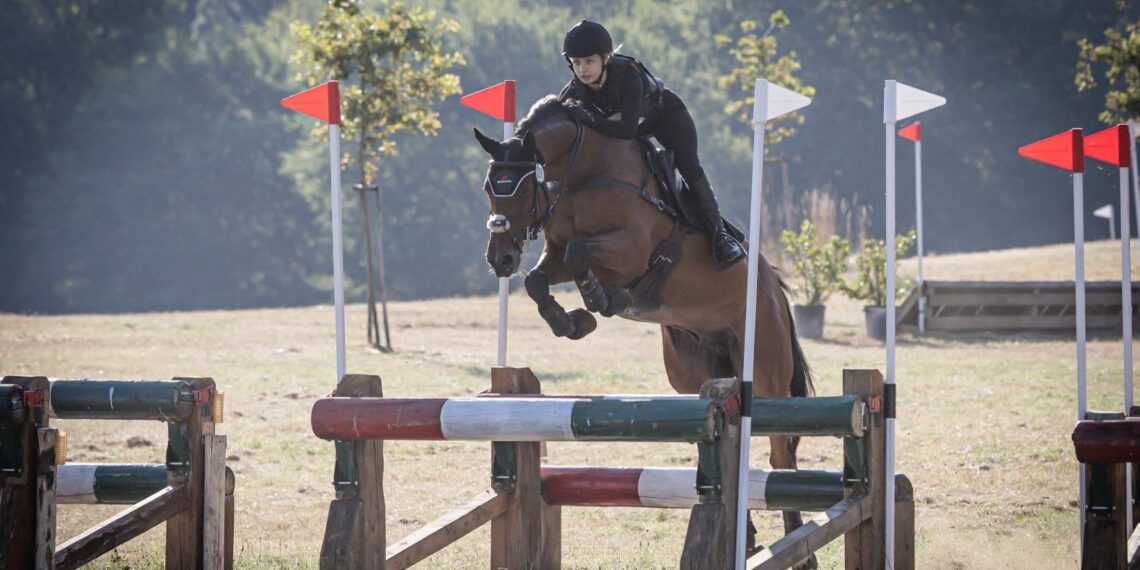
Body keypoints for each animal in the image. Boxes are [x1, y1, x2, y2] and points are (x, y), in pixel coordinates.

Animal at [473, 95, 815, 567]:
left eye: (522, 188)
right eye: (490, 189)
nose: (500, 259)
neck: (584, 170)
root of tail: (773, 287)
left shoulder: (629, 248)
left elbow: (583, 256)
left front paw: (602, 299)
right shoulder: (555, 252)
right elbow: (540, 279)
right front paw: (572, 321)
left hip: (764, 369)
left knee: (780, 451)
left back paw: (797, 542)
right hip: (694, 372)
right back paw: (747, 537)